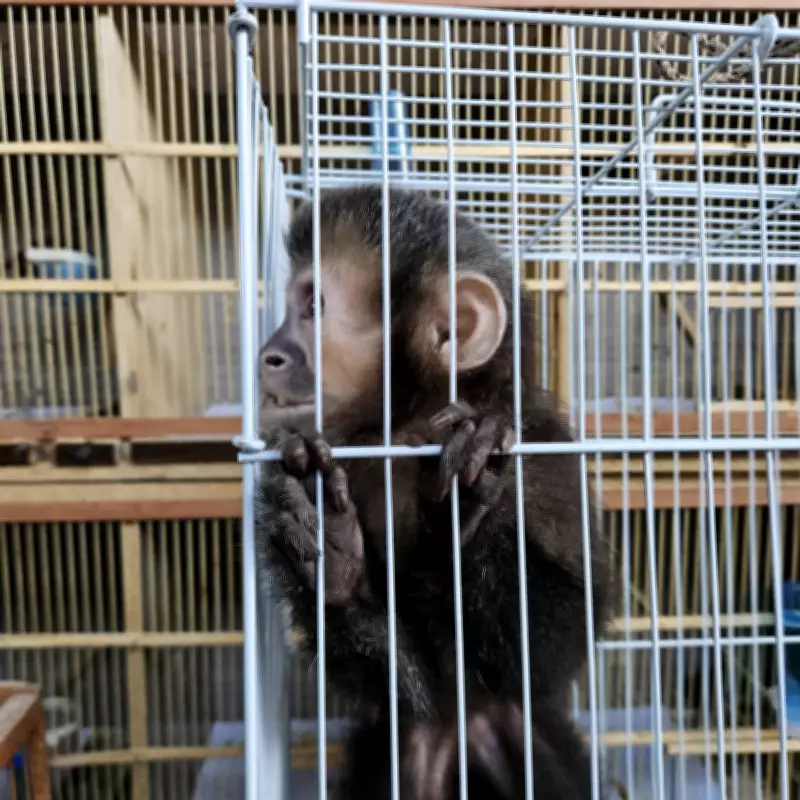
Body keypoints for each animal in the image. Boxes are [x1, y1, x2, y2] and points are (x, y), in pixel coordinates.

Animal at [255, 185, 614, 799]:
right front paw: (328, 549)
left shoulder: (541, 444)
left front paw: (471, 510)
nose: (268, 354)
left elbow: (548, 654)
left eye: (312, 308)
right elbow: (398, 691)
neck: (409, 429)